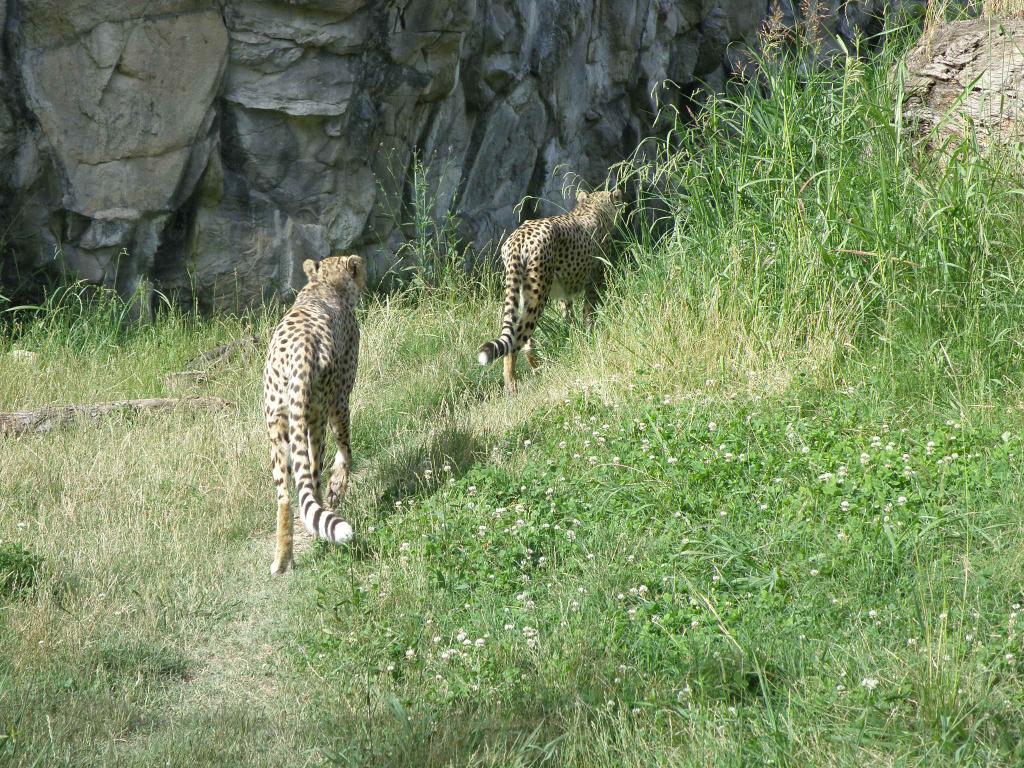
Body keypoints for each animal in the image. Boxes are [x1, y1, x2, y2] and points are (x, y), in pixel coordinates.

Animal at [262, 253, 366, 577]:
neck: (324, 285)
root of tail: (300, 347)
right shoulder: (340, 400)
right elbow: (345, 449)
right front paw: (338, 486)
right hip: (316, 416)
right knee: (313, 472)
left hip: (277, 425)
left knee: (285, 495)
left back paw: (283, 560)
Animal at [475, 186, 618, 391]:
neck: (591, 207)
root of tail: (519, 236)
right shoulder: (593, 282)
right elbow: (589, 313)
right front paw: (589, 335)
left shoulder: (564, 291)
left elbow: (568, 315)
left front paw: (574, 334)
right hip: (538, 295)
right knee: (515, 342)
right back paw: (511, 383)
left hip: (522, 294)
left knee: (524, 341)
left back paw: (539, 370)